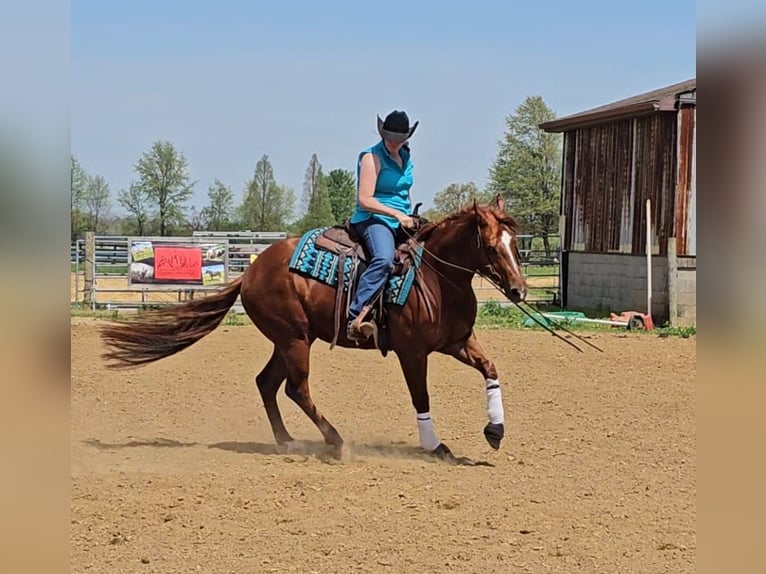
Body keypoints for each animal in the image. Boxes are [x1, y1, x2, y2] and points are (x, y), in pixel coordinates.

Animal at [100, 196, 528, 466]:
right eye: (491, 247)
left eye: (515, 246)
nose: (520, 291)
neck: (436, 277)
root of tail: (250, 272)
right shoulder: (412, 352)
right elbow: (420, 397)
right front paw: (435, 446)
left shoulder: (458, 341)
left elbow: (491, 369)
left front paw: (495, 430)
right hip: (295, 339)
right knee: (296, 388)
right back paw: (336, 442)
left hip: (287, 339)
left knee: (267, 383)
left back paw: (287, 441)